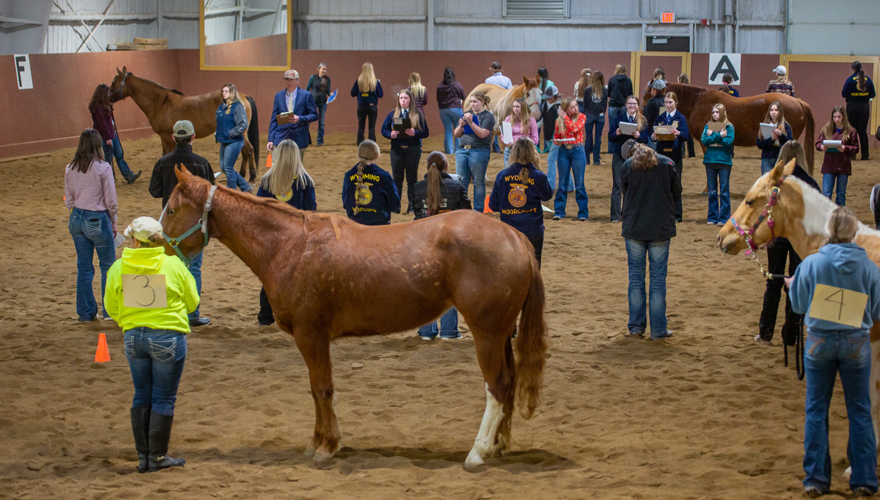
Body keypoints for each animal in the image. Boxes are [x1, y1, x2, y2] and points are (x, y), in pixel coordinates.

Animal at [108, 67, 260, 182]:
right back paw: (242, 174)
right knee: (244, 151)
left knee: (249, 150)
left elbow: (167, 155)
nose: (108, 96)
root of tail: (243, 96)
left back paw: (252, 176)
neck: (160, 102)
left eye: (114, 81)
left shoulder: (167, 137)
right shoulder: (164, 138)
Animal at [156, 168, 544, 468]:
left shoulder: (311, 335)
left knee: (497, 387)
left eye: (172, 209)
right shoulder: (312, 340)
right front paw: (316, 442)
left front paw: (327, 447)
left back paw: (477, 452)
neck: (289, 246)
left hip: (487, 333)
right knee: (509, 383)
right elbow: (315, 389)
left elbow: (323, 388)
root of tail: (515, 237)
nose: (154, 248)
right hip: (500, 334)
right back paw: (498, 445)